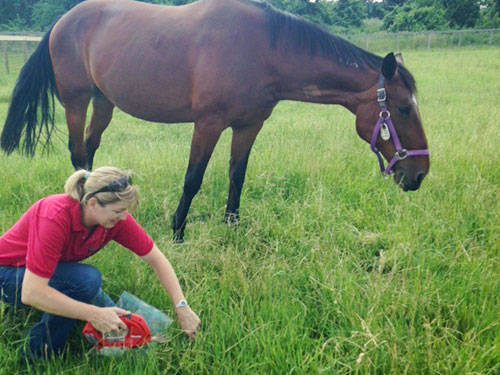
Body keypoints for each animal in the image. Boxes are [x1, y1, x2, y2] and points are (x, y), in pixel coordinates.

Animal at [0, 0, 430, 242]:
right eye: (403, 109)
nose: (420, 174)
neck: (263, 50)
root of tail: (62, 21)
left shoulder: (248, 126)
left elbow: (237, 174)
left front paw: (232, 226)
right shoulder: (207, 124)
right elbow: (193, 179)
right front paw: (177, 232)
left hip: (103, 102)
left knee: (90, 148)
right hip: (76, 101)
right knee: (77, 152)